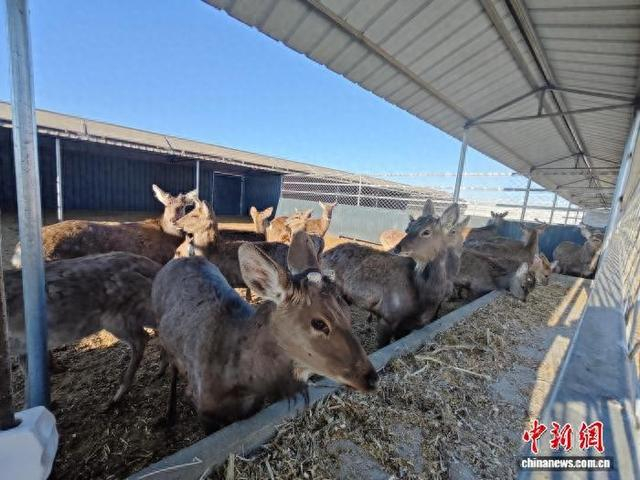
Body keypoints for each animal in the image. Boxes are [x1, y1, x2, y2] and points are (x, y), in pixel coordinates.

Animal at [153, 231, 377, 432]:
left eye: (348, 313)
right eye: (319, 323)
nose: (371, 378)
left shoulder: (252, 407)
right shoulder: (204, 408)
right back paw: (168, 416)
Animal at [321, 200, 460, 347]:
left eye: (426, 232)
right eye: (408, 229)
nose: (397, 248)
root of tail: (324, 254)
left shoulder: (407, 327)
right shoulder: (387, 318)